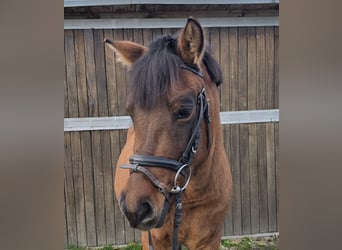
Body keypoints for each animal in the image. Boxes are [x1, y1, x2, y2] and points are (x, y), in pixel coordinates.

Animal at [104, 16, 232, 249]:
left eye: (185, 111)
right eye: (131, 112)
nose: (136, 208)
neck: (188, 197)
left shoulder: (209, 240)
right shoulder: (154, 239)